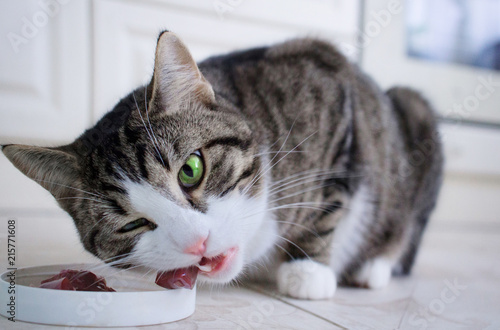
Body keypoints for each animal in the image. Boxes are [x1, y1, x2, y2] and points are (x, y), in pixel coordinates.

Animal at [2, 31, 442, 300]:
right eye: (130, 225)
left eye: (190, 171)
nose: (196, 243)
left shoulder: (331, 89)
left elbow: (328, 198)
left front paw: (307, 270)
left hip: (414, 114)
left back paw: (373, 265)